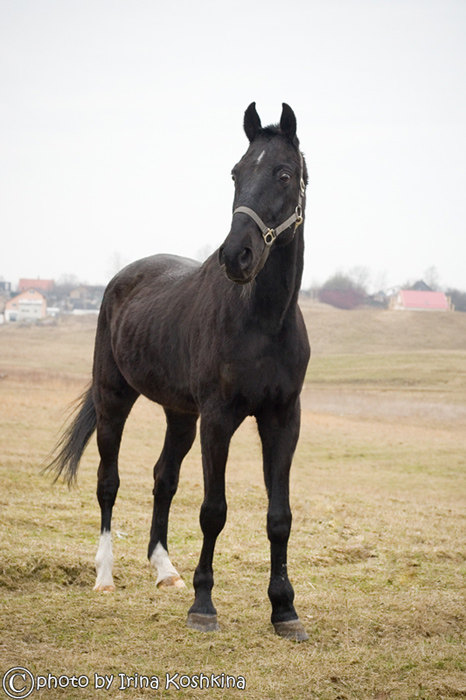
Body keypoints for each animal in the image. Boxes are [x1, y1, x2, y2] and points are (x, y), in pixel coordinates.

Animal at [48, 101, 310, 644]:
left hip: (179, 415)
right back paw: (105, 575)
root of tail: (120, 279)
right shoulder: (219, 419)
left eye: (283, 173)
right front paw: (204, 605)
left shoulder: (282, 419)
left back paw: (165, 570)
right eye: (236, 172)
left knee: (162, 478)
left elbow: (279, 517)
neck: (263, 320)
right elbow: (214, 511)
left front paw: (284, 610)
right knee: (108, 482)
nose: (237, 256)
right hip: (114, 400)